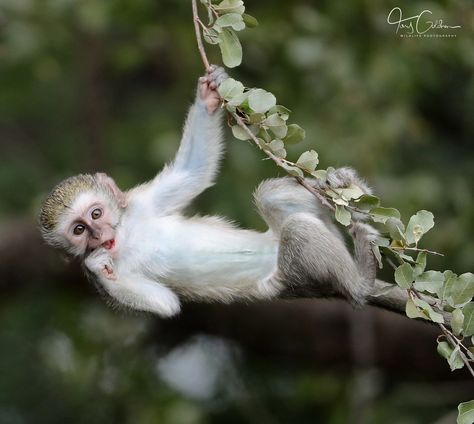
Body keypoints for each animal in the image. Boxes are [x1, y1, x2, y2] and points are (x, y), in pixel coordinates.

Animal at [38, 66, 378, 316]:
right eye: (79, 230)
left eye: (96, 213)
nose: (98, 234)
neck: (126, 236)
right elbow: (165, 304)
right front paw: (98, 265)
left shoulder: (141, 203)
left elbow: (192, 172)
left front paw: (208, 95)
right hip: (286, 279)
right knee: (296, 230)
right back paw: (360, 282)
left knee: (273, 198)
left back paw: (346, 189)